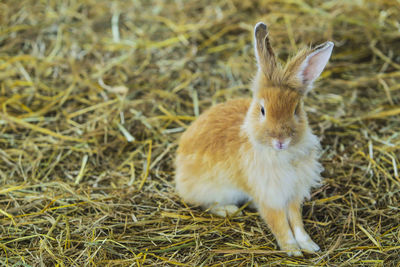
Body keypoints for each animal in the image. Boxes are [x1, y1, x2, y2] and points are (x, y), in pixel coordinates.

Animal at [175, 22, 334, 256]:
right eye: (262, 110)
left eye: (296, 110)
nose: (280, 140)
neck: (280, 155)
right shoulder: (268, 196)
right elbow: (279, 224)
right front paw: (292, 249)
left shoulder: (292, 193)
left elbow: (296, 221)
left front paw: (309, 246)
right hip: (213, 189)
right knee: (204, 203)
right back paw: (230, 210)